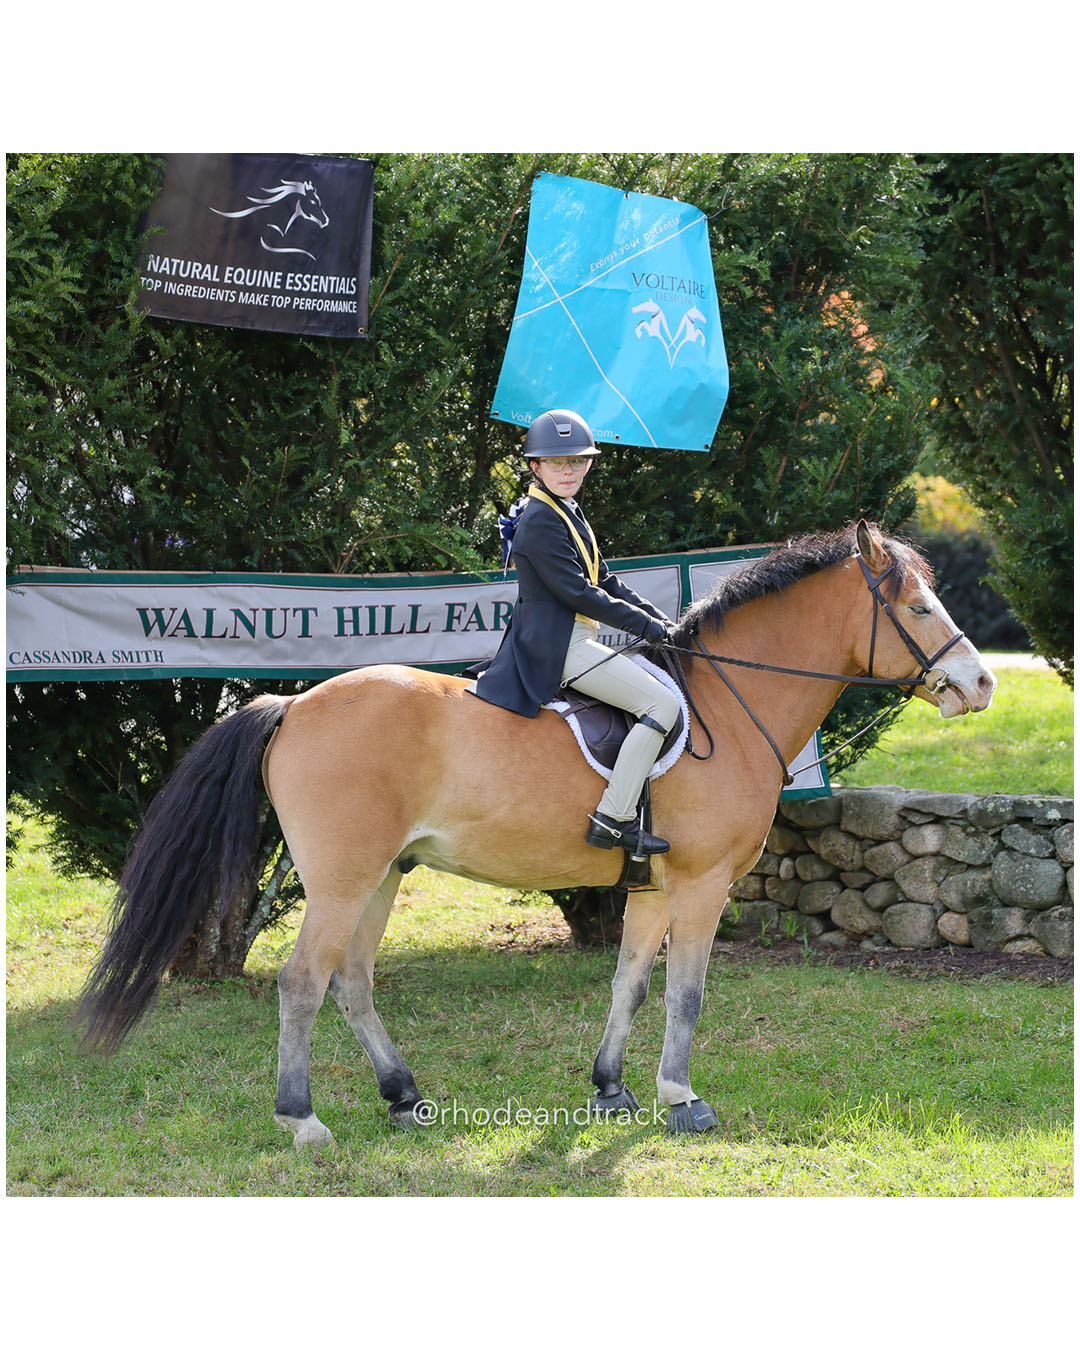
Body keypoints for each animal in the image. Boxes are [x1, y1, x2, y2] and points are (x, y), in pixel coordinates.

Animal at [74, 522, 997, 1145]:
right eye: (918, 605)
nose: (982, 683)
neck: (730, 708)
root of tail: (294, 704)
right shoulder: (701, 885)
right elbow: (688, 994)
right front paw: (681, 1098)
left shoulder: (652, 889)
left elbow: (629, 984)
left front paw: (612, 1091)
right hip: (341, 878)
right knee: (304, 982)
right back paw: (302, 1121)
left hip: (381, 876)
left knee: (353, 983)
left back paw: (404, 1097)